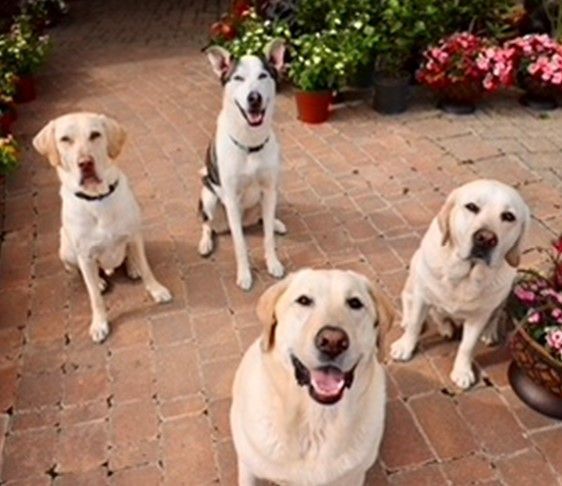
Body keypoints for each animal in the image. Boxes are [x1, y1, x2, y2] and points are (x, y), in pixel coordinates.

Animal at [32, 113, 171, 342]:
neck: (98, 199)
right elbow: (94, 298)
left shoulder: (134, 235)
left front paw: (156, 290)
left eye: (95, 134)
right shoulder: (85, 254)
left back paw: (132, 267)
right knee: (84, 272)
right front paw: (99, 324)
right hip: (66, 250)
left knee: (129, 257)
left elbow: (147, 269)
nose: (85, 163)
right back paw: (99, 281)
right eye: (65, 139)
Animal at [196, 39, 284, 290]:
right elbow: (240, 245)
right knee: (206, 223)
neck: (250, 142)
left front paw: (273, 262)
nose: (254, 97)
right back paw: (205, 243)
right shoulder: (232, 199)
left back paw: (275, 222)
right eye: (238, 78)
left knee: (264, 219)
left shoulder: (269, 189)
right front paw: (245, 275)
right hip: (209, 196)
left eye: (263, 75)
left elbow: (268, 238)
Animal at [228, 268, 390, 484]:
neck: (315, 420)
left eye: (355, 303)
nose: (332, 342)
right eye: (304, 300)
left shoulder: (354, 477)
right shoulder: (248, 468)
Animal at [390, 180, 528, 390]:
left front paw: (462, 371)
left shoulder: (480, 315)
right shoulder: (423, 297)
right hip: (415, 268)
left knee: (496, 314)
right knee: (410, 300)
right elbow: (414, 325)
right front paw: (405, 346)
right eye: (471, 207)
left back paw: (488, 332)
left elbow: (467, 346)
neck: (465, 276)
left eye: (508, 217)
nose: (486, 238)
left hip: (505, 292)